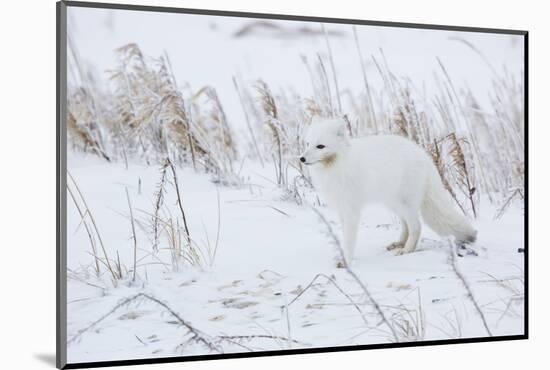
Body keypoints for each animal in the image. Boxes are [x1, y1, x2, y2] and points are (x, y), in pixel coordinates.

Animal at [300, 115, 476, 264]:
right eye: (307, 143)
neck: (336, 165)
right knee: (405, 225)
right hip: (393, 203)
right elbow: (344, 235)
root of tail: (423, 155)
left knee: (416, 226)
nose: (301, 158)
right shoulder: (341, 208)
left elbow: (349, 238)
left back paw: (407, 250)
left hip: (405, 203)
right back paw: (399, 243)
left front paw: (346, 260)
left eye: (320, 146)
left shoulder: (351, 210)